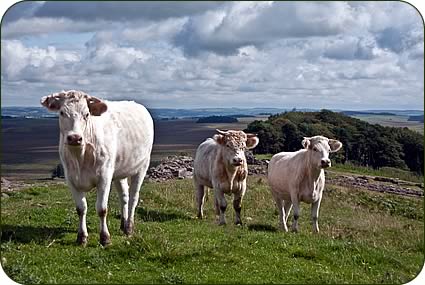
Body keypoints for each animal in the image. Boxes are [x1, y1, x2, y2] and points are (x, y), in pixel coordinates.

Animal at [40, 90, 154, 245]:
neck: (80, 157)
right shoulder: (71, 178)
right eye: (62, 112)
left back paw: (129, 227)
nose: (74, 138)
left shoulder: (104, 177)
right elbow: (81, 208)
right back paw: (123, 225)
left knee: (133, 197)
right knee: (124, 196)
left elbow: (102, 209)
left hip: (142, 166)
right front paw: (81, 237)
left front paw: (105, 238)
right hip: (119, 171)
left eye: (87, 114)